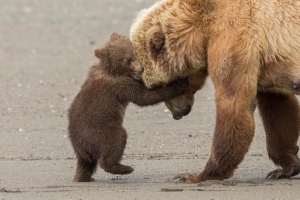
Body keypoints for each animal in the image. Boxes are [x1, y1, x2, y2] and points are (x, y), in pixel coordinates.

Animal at [130, 0, 300, 183]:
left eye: (158, 86)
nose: (177, 114)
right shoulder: (265, 64)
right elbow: (279, 110)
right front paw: (285, 167)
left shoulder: (233, 40)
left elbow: (234, 104)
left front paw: (195, 175)